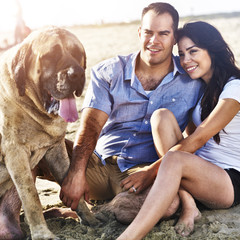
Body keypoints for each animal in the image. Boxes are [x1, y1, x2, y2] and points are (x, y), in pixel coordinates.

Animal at [0, 26, 97, 240]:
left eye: (77, 53)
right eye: (51, 56)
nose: (77, 74)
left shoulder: (56, 149)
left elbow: (70, 181)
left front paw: (91, 220)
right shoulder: (16, 153)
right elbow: (31, 198)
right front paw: (42, 234)